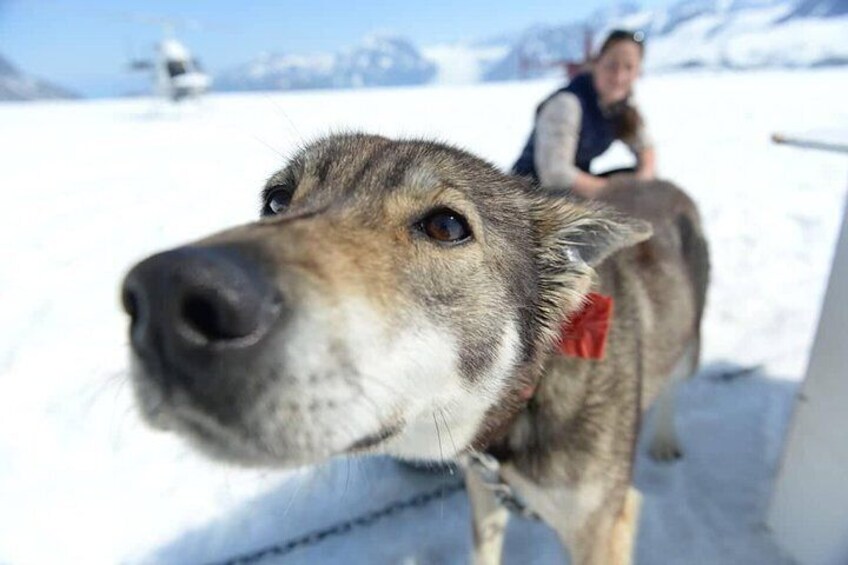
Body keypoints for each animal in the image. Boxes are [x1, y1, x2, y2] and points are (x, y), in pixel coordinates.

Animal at [122, 133, 708, 564]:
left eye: (446, 225)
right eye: (276, 199)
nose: (162, 296)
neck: (530, 400)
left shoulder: (603, 527)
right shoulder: (484, 495)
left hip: (691, 350)